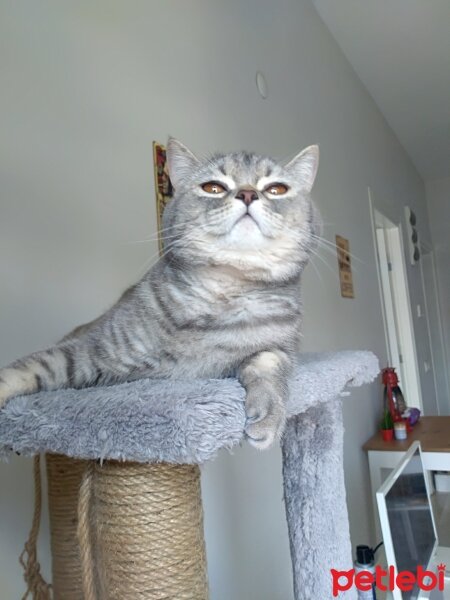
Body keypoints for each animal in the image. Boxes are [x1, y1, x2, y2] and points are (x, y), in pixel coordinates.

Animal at [0, 139, 320, 450]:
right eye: (213, 187)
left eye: (276, 189)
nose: (248, 194)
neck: (225, 291)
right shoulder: (89, 350)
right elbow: (26, 369)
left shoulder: (276, 347)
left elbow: (271, 370)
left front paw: (269, 416)